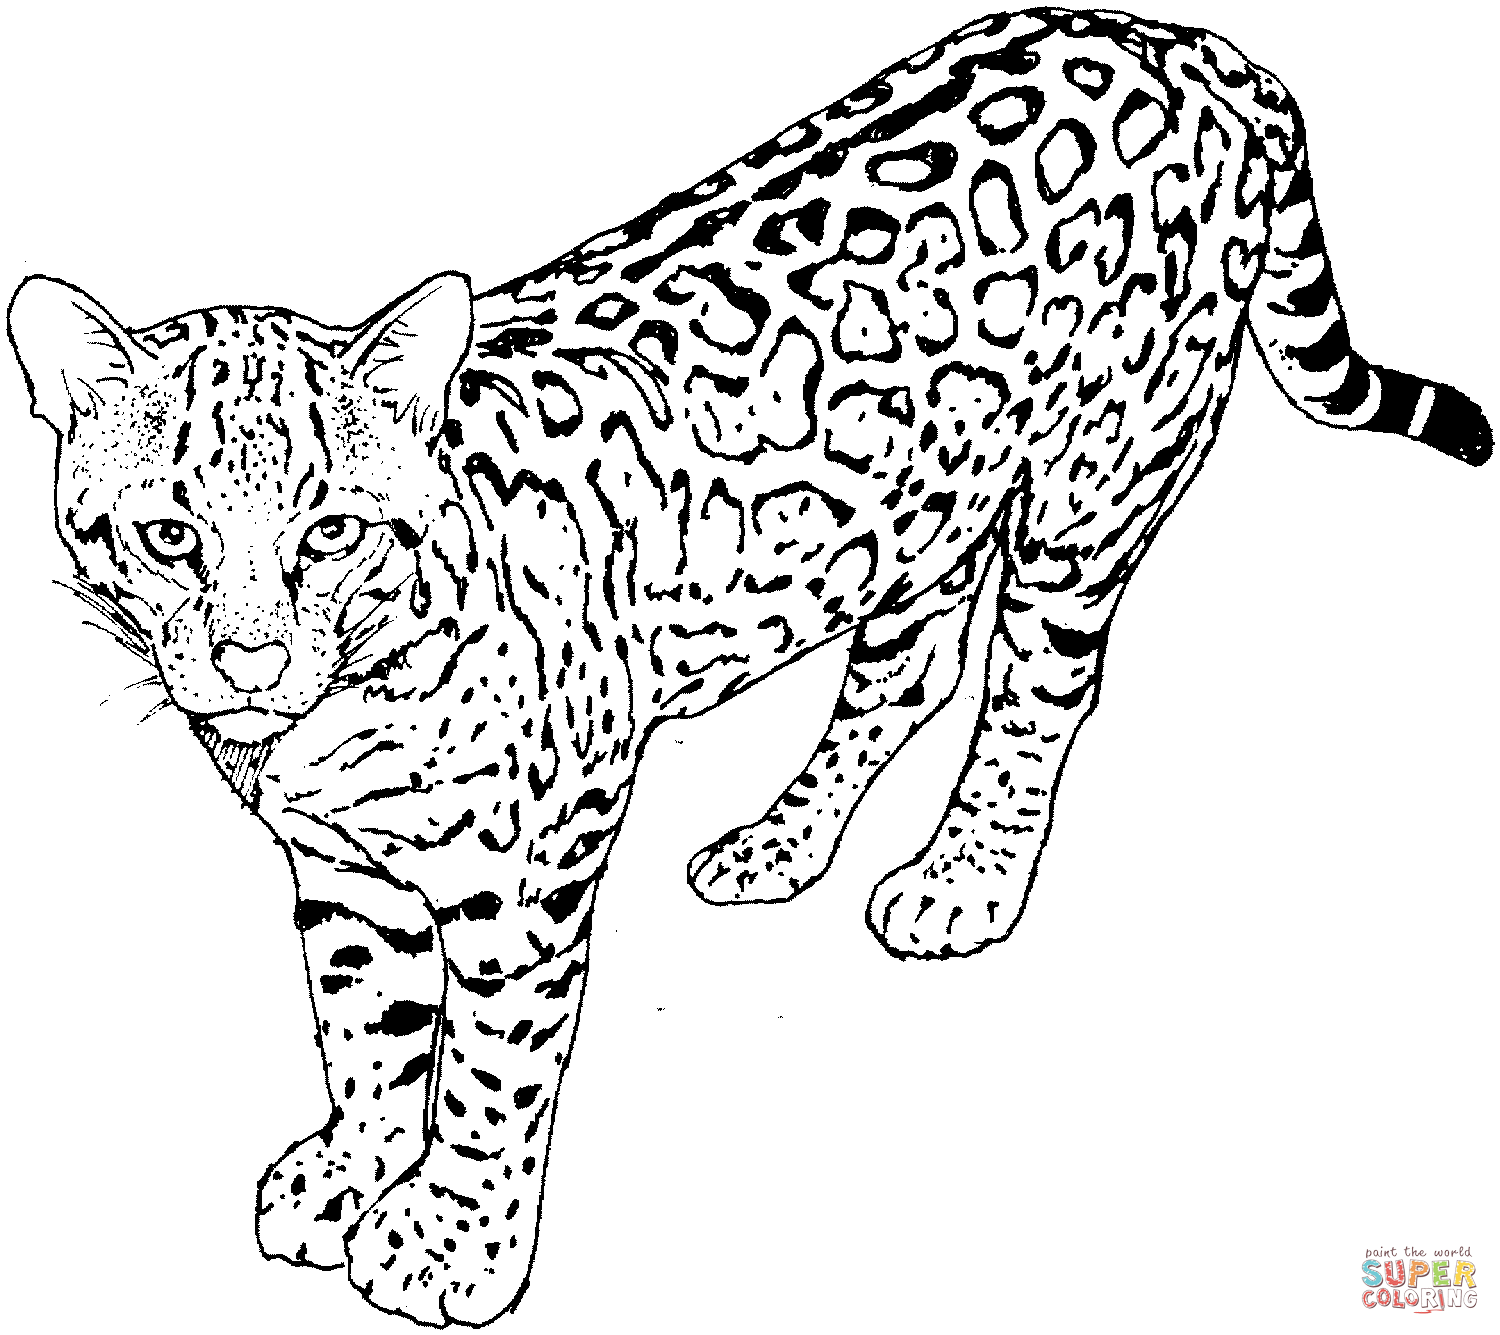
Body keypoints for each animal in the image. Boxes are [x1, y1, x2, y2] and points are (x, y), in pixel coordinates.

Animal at [7, 7, 1490, 1327]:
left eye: (331, 532)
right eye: (169, 535)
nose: (252, 662)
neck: (337, 719)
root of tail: (1197, 44)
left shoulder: (536, 858)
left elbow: (489, 1063)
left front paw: (452, 1240)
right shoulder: (343, 867)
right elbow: (363, 1020)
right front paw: (350, 1166)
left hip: (1097, 482)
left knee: (1037, 692)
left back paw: (961, 877)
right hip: (913, 502)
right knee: (912, 663)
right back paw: (781, 842)